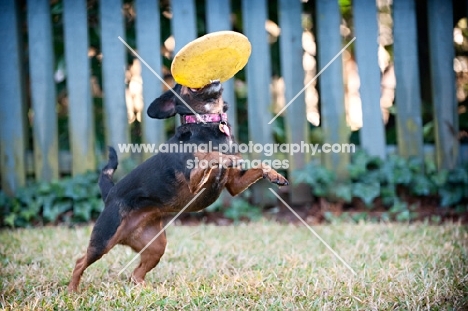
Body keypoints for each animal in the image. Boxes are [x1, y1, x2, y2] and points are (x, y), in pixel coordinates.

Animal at [67, 81, 288, 292]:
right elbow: (211, 156)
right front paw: (226, 157)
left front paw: (274, 174)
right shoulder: (194, 182)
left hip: (156, 246)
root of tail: (110, 194)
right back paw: (72, 291)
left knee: (135, 275)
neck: (206, 124)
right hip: (104, 240)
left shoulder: (235, 185)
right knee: (79, 262)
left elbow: (259, 166)